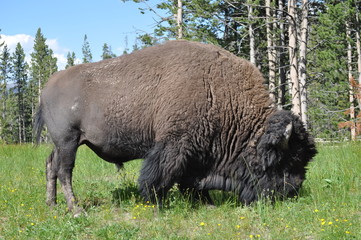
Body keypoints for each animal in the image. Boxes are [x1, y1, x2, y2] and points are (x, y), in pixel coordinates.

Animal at [33, 40, 316, 215]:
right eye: (286, 160)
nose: (294, 190)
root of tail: (45, 89)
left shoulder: (197, 153)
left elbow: (189, 181)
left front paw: (206, 204)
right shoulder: (175, 145)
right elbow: (160, 176)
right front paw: (157, 204)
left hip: (62, 143)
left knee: (50, 165)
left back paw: (52, 205)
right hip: (69, 141)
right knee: (64, 171)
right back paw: (76, 210)